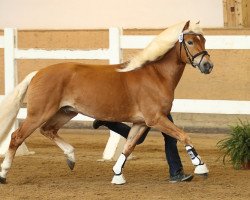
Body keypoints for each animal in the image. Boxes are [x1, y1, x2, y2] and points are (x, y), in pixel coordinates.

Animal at [0, 20, 213, 184]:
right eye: (190, 41)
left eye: (203, 40)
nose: (207, 65)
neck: (156, 75)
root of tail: (38, 73)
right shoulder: (156, 119)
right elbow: (183, 136)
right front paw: (201, 167)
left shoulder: (141, 123)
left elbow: (129, 147)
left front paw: (117, 176)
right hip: (38, 113)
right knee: (17, 136)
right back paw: (4, 173)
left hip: (66, 112)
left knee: (48, 130)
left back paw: (71, 157)